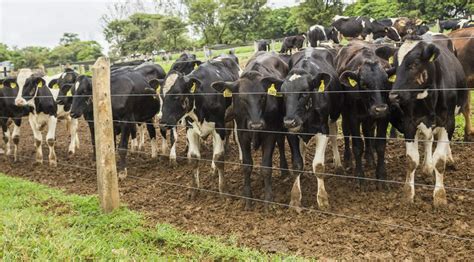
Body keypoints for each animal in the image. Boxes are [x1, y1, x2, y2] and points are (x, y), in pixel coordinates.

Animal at [160, 55, 241, 199]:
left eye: (177, 96)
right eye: (161, 96)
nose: (163, 123)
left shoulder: (219, 127)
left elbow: (219, 158)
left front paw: (223, 190)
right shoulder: (190, 129)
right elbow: (193, 158)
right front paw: (194, 190)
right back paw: (213, 170)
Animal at [210, 52, 288, 210]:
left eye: (263, 96)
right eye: (242, 98)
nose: (256, 125)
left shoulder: (270, 133)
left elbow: (266, 166)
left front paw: (268, 199)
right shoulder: (242, 134)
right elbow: (246, 165)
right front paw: (247, 197)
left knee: (281, 143)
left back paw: (284, 169)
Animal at [336, 40, 394, 188]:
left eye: (386, 82)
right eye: (363, 84)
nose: (379, 109)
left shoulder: (384, 117)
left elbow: (380, 145)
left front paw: (381, 176)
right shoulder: (353, 117)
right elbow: (357, 146)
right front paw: (359, 176)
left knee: (368, 132)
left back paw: (369, 158)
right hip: (345, 115)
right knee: (346, 133)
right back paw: (348, 159)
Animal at [386, 35, 468, 207]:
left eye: (414, 64)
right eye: (394, 66)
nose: (393, 96)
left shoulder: (448, 122)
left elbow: (440, 161)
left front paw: (440, 196)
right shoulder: (409, 123)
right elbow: (411, 160)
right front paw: (408, 194)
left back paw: (449, 159)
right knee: (428, 140)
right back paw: (427, 168)